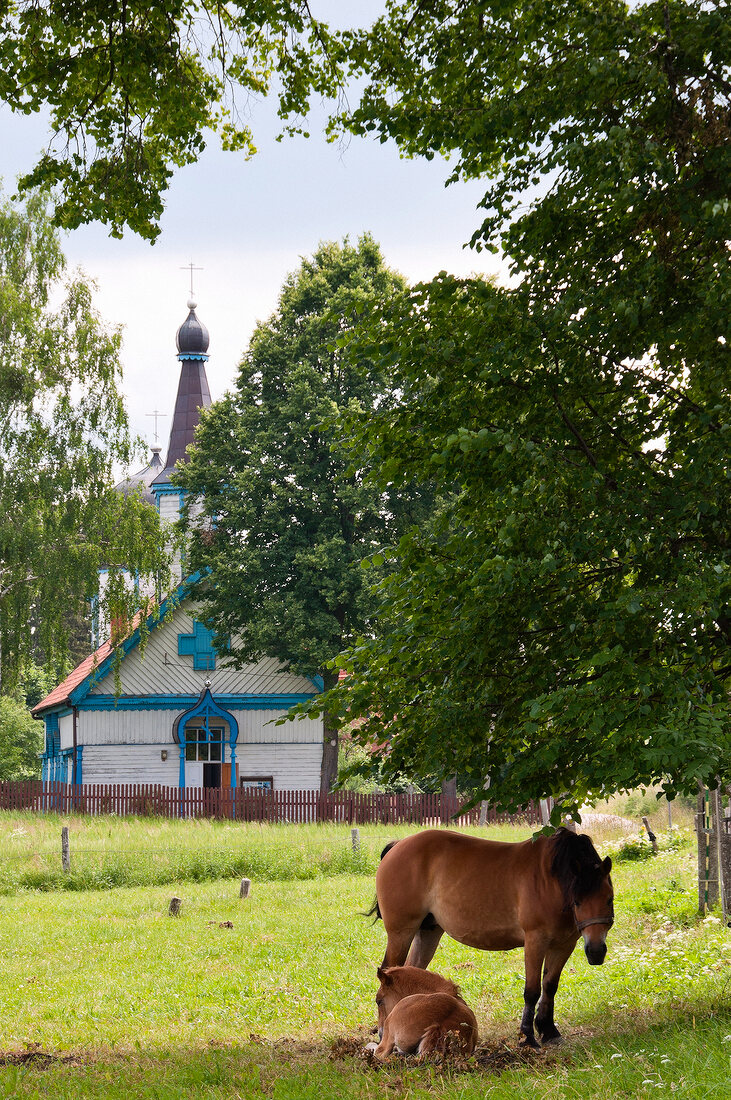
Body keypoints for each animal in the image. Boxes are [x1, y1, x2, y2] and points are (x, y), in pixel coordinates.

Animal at [367, 827, 611, 1047]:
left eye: (609, 899)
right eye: (577, 901)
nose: (596, 951)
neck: (551, 881)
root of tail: (398, 845)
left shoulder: (564, 945)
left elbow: (550, 986)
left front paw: (549, 1031)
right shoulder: (535, 941)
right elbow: (532, 991)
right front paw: (527, 1036)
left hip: (428, 932)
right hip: (401, 933)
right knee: (390, 973)